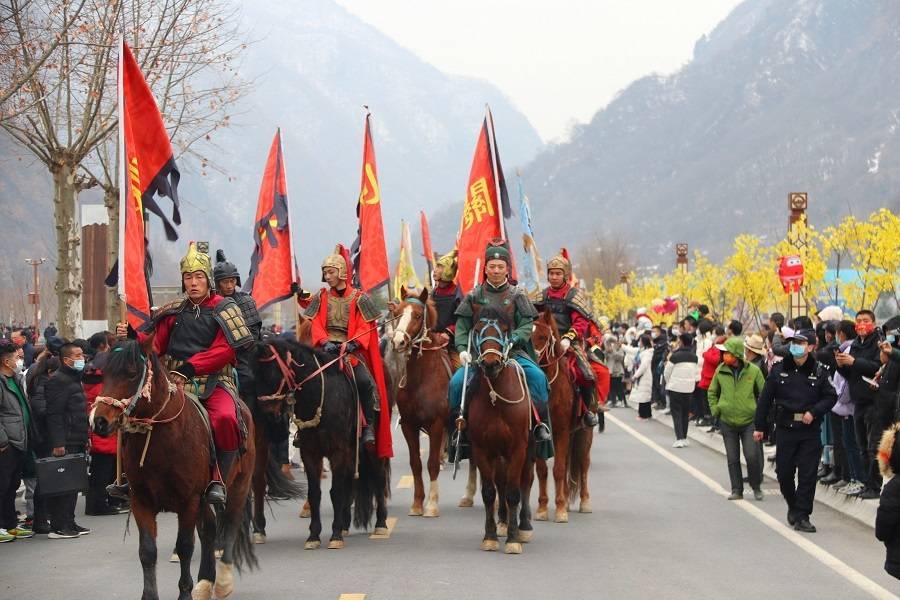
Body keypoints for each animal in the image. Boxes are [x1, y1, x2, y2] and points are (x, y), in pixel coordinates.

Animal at [90, 336, 256, 600]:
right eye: (104, 374)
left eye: (131, 373)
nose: (99, 421)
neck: (162, 438)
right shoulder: (141, 500)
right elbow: (147, 551)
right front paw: (149, 595)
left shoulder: (188, 501)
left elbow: (185, 547)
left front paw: (185, 592)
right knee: (209, 529)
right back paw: (205, 582)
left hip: (238, 485)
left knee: (230, 524)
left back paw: (222, 582)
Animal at [255, 338, 392, 548]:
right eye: (256, 372)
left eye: (271, 371)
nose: (268, 414)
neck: (320, 395)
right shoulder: (310, 452)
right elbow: (315, 493)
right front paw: (313, 536)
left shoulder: (338, 451)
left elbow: (336, 492)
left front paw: (335, 535)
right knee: (350, 482)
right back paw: (345, 524)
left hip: (372, 446)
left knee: (379, 477)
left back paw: (381, 524)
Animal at [390, 286, 454, 516]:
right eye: (397, 313)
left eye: (417, 315)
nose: (398, 341)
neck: (420, 380)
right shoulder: (409, 425)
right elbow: (416, 463)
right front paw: (417, 503)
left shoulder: (436, 424)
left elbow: (432, 463)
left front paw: (432, 505)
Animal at [464, 308, 536, 556]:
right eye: (477, 329)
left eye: (505, 330)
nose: (490, 363)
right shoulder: (482, 450)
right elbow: (489, 492)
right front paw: (490, 536)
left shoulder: (518, 449)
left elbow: (514, 493)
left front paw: (513, 539)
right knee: (501, 484)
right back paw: (504, 523)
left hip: (529, 452)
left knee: (525, 482)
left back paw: (524, 527)